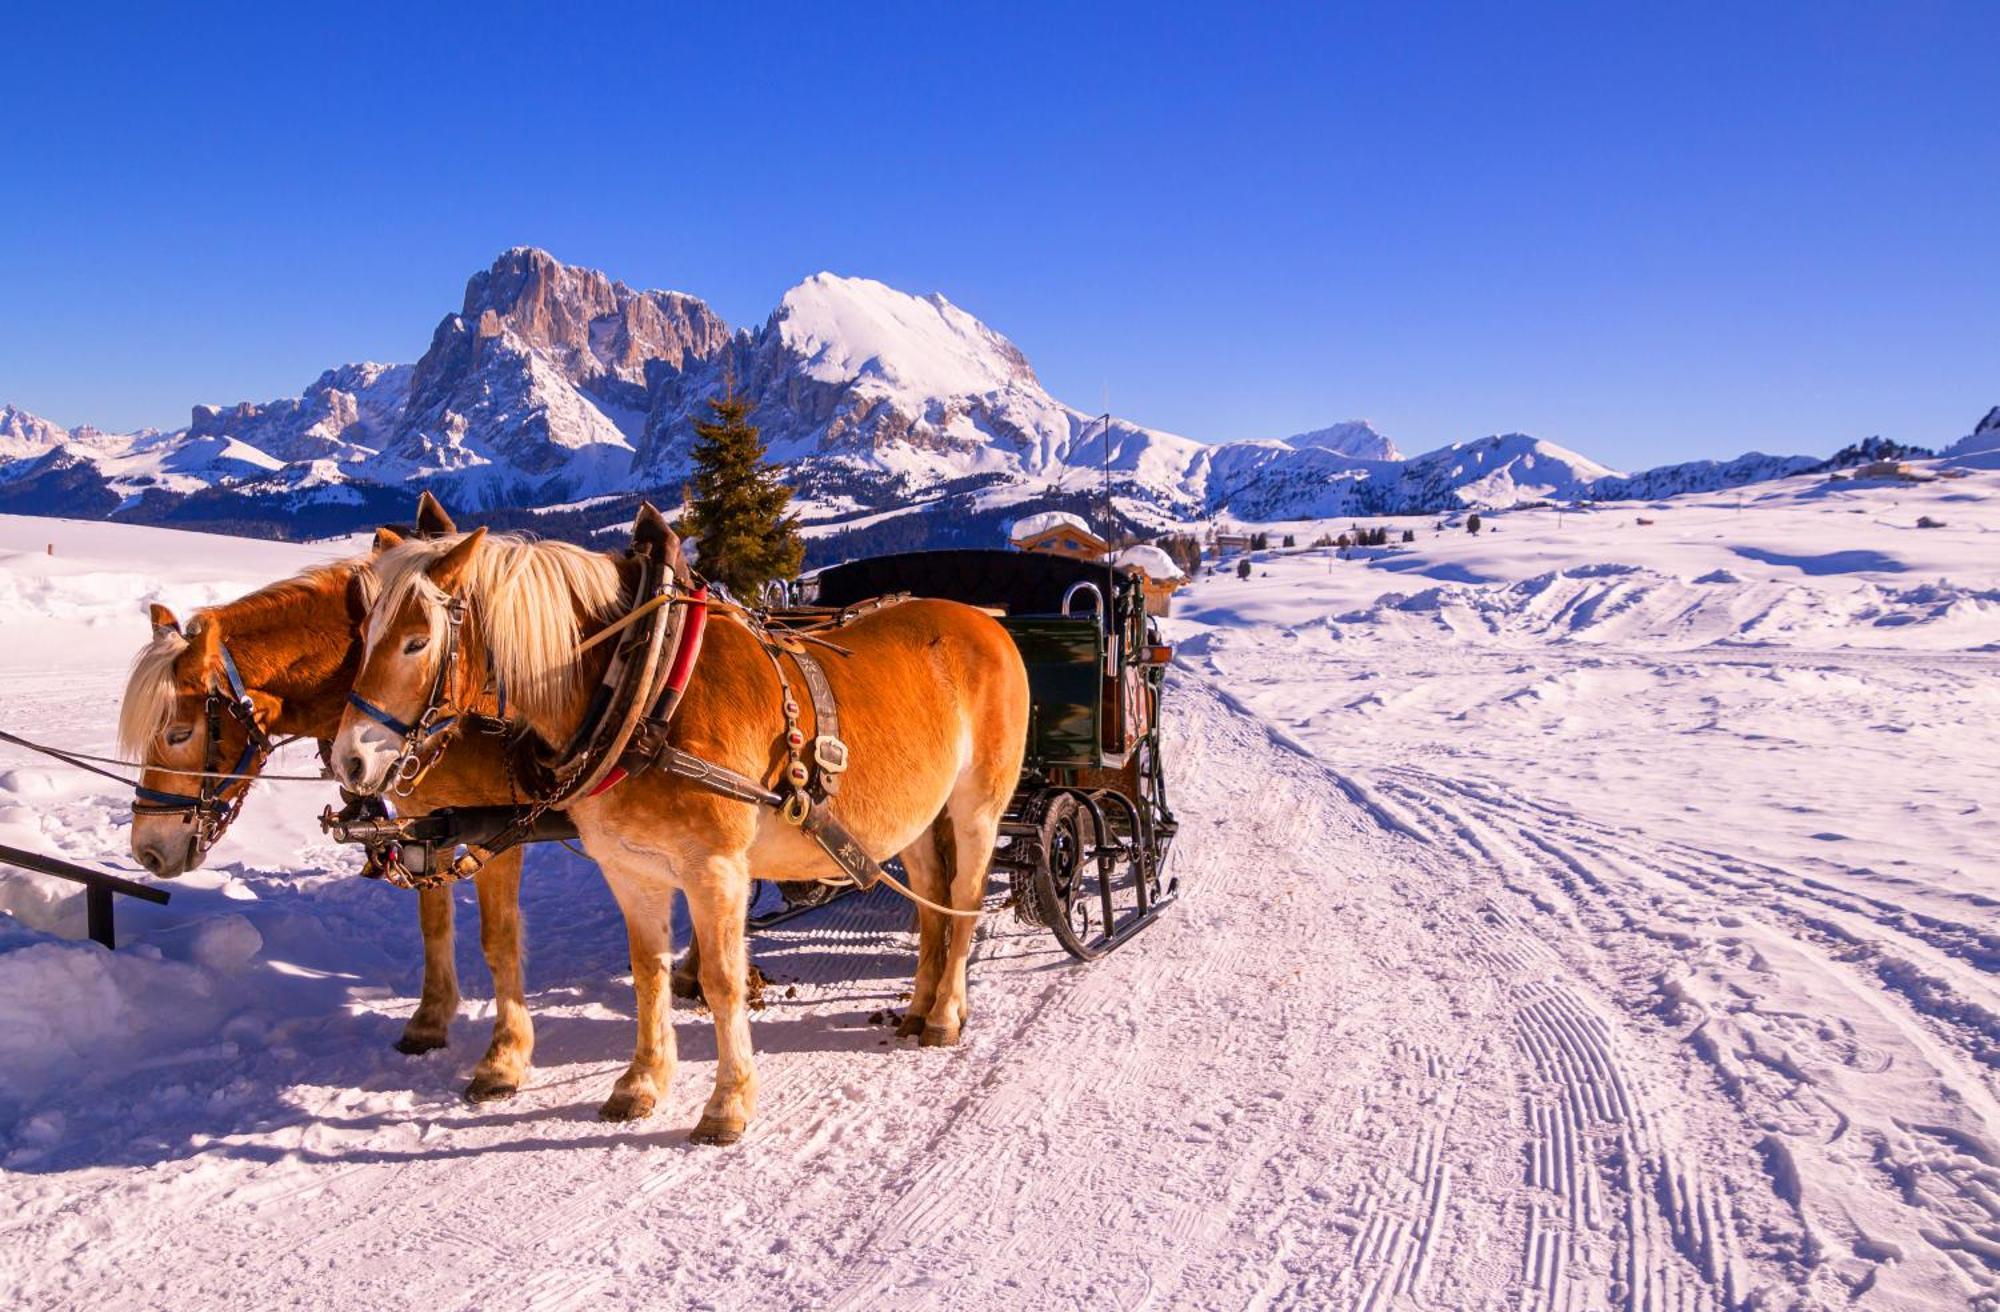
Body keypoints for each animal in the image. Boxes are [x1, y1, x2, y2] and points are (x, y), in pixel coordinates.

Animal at [121, 510, 536, 1096]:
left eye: (180, 733)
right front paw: (429, 1021)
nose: (149, 849)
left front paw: (505, 1057)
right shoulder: (425, 822)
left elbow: (498, 938)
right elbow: (434, 924)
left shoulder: (501, 827)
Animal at [334, 528, 1024, 1144]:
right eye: (363, 637)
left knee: (963, 900)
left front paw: (727, 1104)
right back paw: (918, 1006)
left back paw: (944, 1013)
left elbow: (721, 981)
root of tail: (986, 623)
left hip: (977, 807)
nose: (349, 762)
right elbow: (648, 973)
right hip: (915, 817)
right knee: (931, 900)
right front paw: (642, 1083)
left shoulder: (714, 868)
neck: (644, 692)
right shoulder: (630, 867)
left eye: (417, 642)